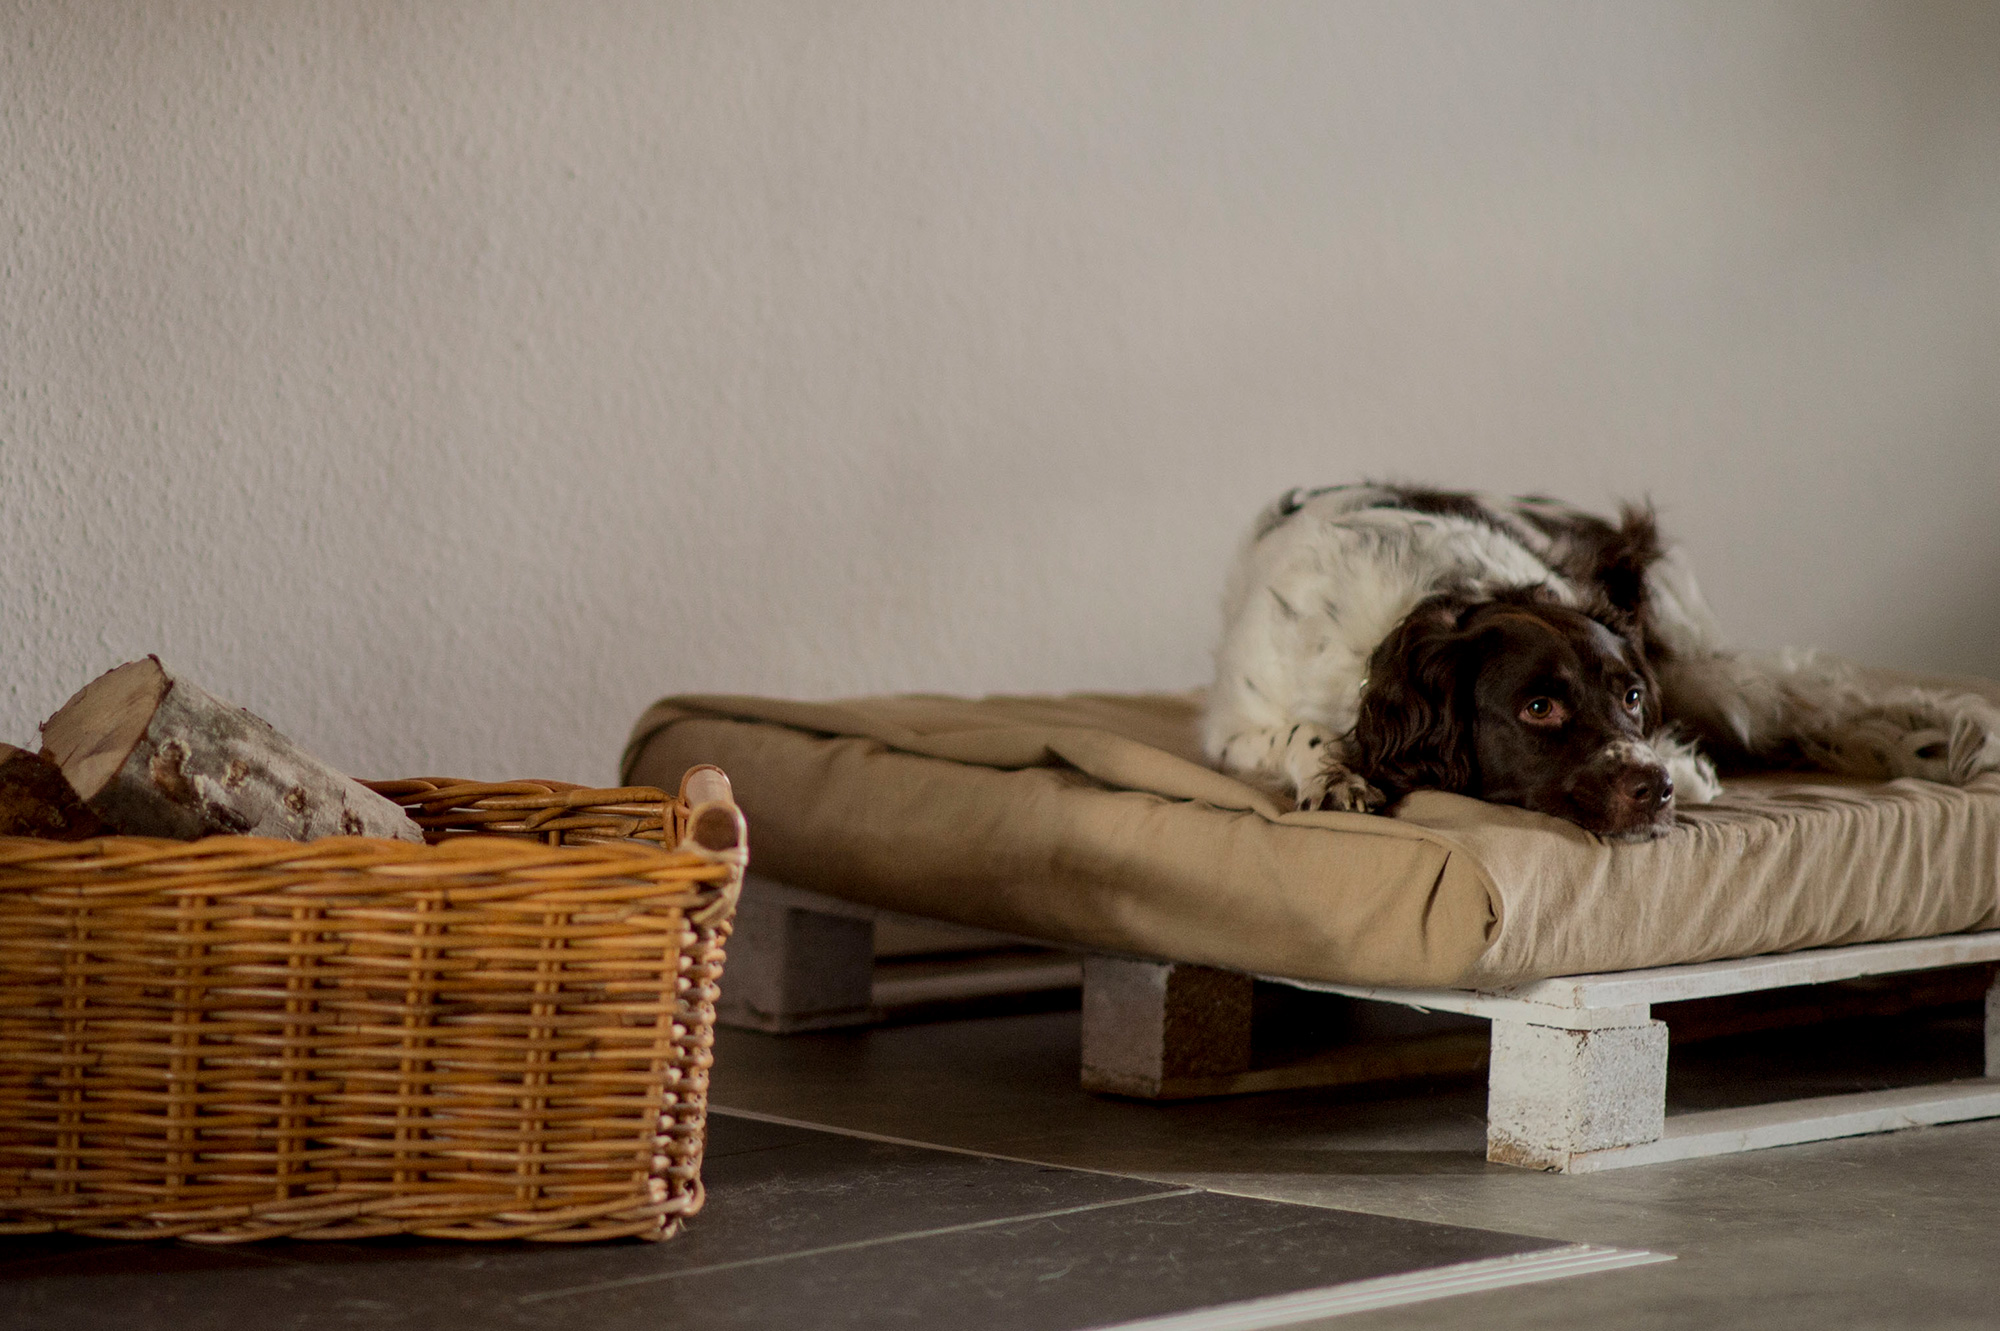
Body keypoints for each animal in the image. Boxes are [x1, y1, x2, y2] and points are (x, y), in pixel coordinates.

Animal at [1200, 485, 2000, 839]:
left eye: (1632, 696)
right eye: (1538, 707)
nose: (1655, 787)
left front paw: (1686, 769)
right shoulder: (1233, 725)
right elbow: (1298, 732)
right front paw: (1335, 773)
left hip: (1702, 662)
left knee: (1809, 698)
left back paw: (1941, 740)